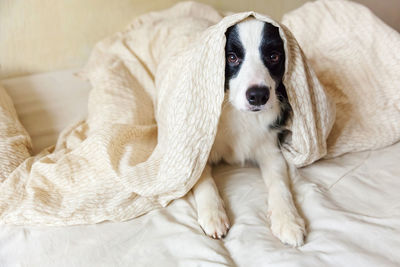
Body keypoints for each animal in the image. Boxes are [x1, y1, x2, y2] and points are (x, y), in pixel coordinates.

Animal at [191, 18, 306, 249]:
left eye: (274, 56)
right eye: (231, 57)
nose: (258, 96)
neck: (240, 114)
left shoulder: (271, 150)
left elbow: (280, 184)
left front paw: (288, 220)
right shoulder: (200, 145)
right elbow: (202, 179)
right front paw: (213, 214)